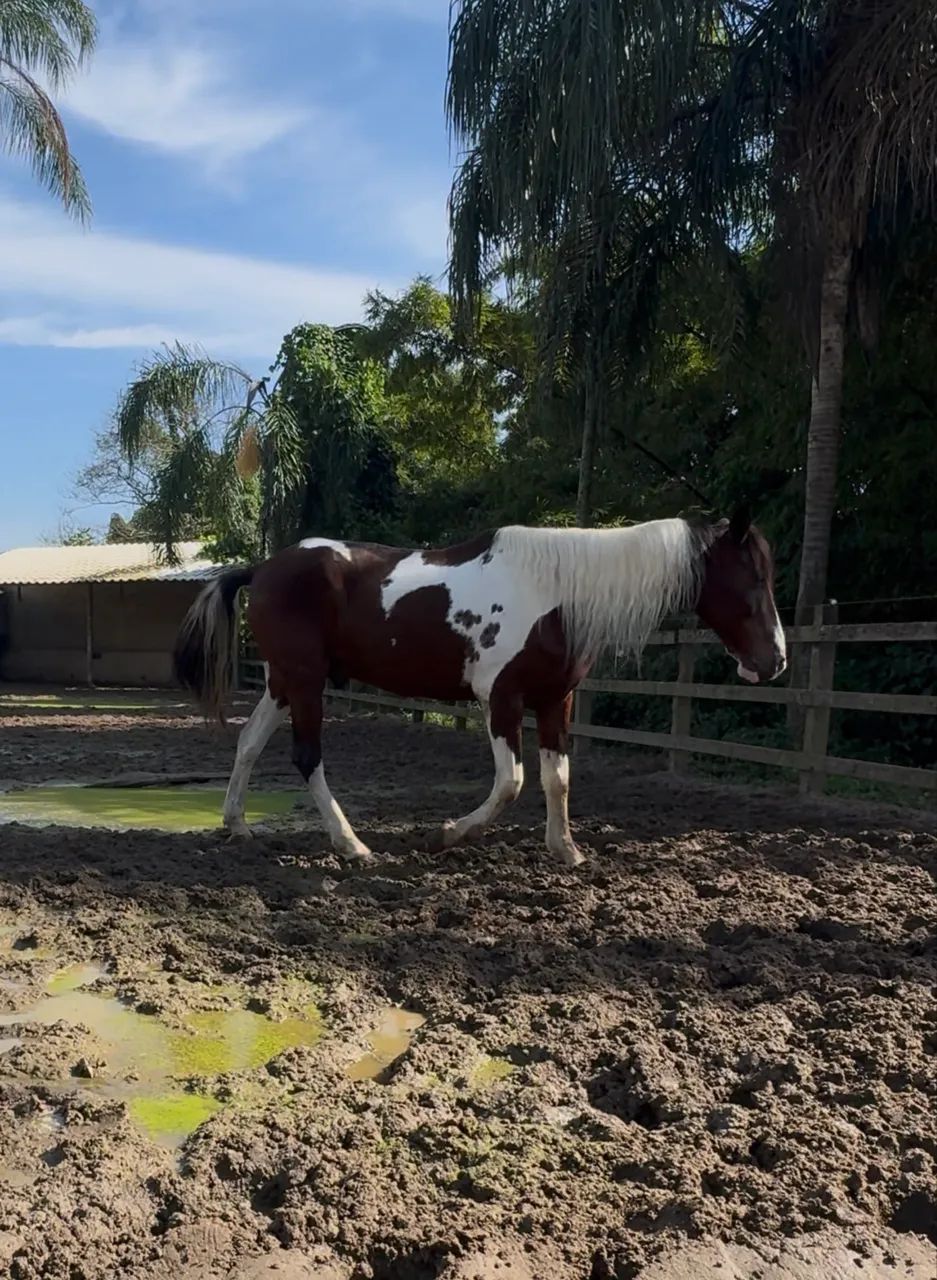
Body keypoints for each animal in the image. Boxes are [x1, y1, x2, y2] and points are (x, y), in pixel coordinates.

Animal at [173, 508, 786, 866]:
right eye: (754, 577)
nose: (774, 661)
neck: (555, 593)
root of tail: (263, 568)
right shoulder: (502, 699)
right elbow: (511, 783)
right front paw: (444, 835)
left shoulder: (555, 700)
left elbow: (558, 778)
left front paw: (566, 850)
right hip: (304, 681)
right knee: (306, 757)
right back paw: (352, 844)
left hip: (283, 682)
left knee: (248, 743)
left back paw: (238, 826)